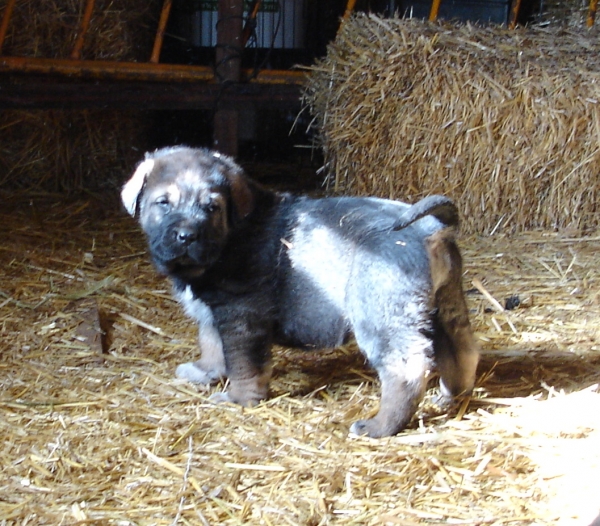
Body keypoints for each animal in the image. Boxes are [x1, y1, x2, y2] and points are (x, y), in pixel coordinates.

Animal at [120, 146, 478, 440]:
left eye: (211, 208)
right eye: (163, 203)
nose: (186, 236)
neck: (232, 235)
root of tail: (428, 227)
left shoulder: (241, 315)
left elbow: (243, 364)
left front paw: (238, 399)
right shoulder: (215, 314)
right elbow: (212, 345)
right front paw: (204, 372)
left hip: (381, 314)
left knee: (406, 369)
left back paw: (380, 426)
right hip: (445, 304)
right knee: (461, 350)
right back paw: (452, 396)